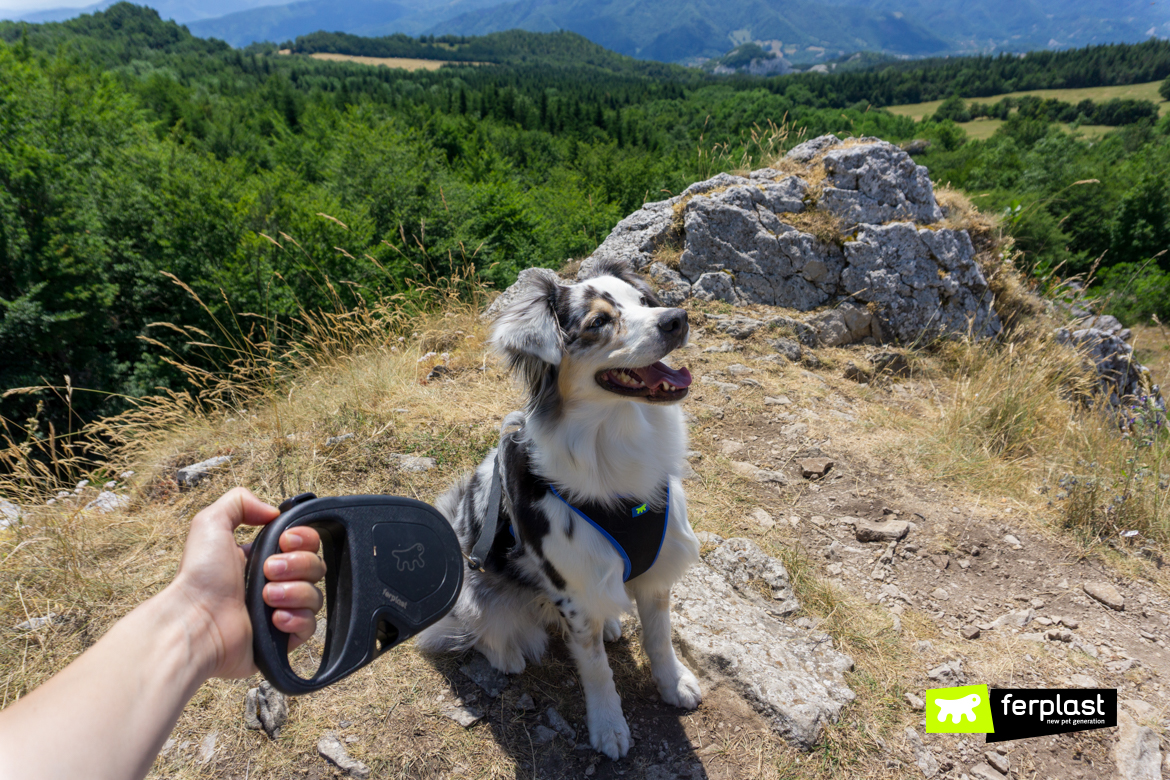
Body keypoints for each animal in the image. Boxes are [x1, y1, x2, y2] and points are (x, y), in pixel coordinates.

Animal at [416, 259, 697, 757]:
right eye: (599, 321)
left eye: (645, 302)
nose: (677, 319)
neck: (614, 439)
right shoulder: (574, 585)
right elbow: (597, 668)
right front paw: (608, 726)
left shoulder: (656, 569)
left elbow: (660, 639)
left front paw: (673, 682)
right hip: (471, 584)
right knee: (478, 628)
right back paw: (506, 653)